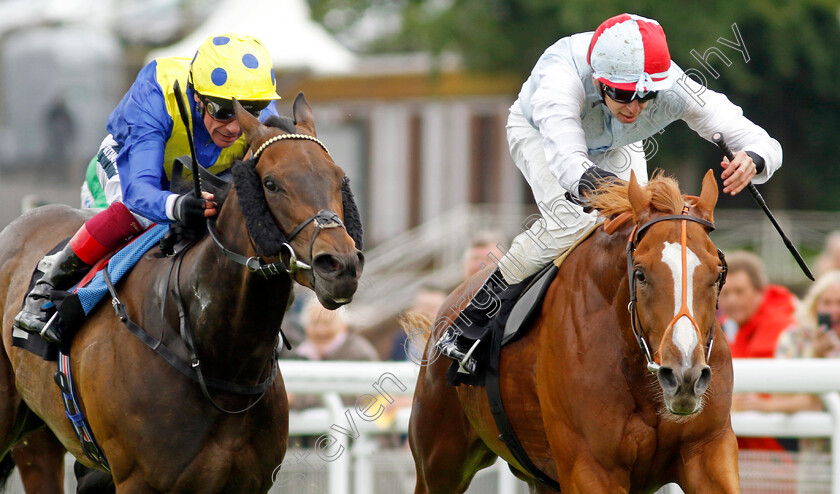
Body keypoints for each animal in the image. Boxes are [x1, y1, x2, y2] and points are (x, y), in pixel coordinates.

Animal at [410, 169, 740, 490]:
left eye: (718, 274)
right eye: (641, 274)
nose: (685, 376)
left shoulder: (708, 450)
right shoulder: (590, 468)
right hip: (440, 461)